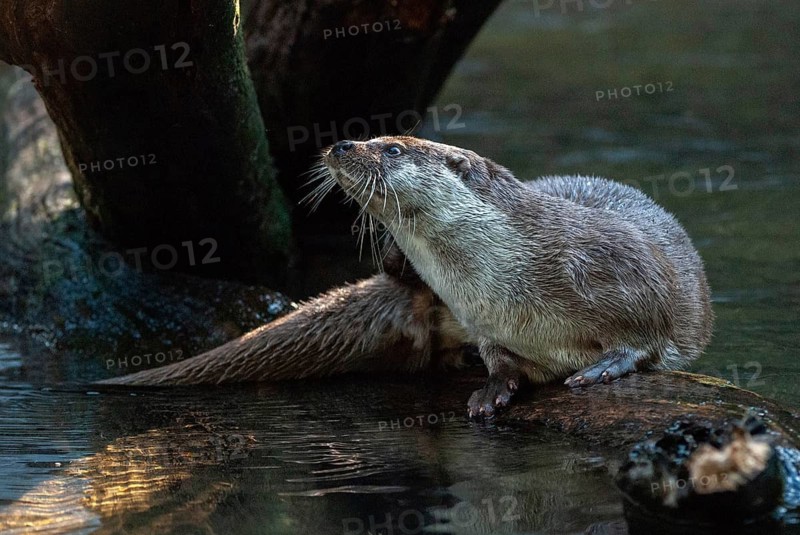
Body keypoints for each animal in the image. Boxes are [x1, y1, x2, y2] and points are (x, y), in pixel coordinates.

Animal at [323, 136, 712, 417]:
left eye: (393, 148)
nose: (342, 145)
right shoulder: (484, 321)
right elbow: (497, 356)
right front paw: (493, 388)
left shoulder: (627, 268)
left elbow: (648, 332)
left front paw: (604, 367)